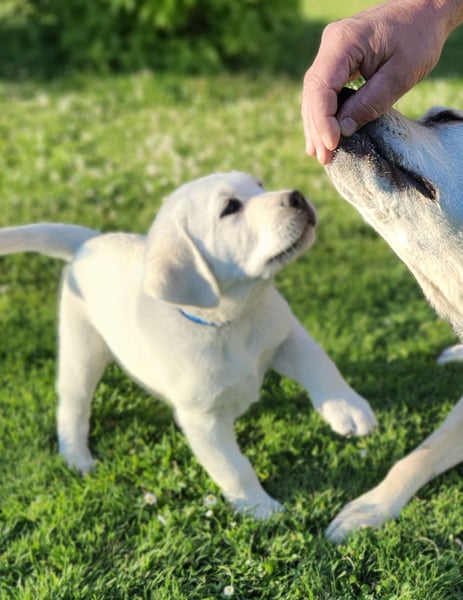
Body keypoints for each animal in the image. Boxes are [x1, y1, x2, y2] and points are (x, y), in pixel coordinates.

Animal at [0, 171, 376, 518]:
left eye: (259, 184)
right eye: (230, 208)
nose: (296, 196)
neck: (231, 321)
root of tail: (90, 243)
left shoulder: (287, 336)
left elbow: (322, 367)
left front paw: (350, 410)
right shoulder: (202, 421)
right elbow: (235, 468)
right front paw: (261, 509)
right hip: (82, 348)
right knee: (73, 405)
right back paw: (77, 456)